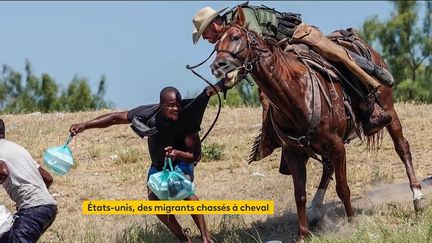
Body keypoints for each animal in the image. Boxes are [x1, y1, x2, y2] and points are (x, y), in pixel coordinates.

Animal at [211, 7, 424, 241]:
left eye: (236, 37)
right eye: (216, 44)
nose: (217, 66)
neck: (295, 94)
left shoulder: (337, 146)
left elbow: (343, 188)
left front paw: (352, 223)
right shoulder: (294, 152)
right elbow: (300, 194)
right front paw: (302, 235)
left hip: (389, 110)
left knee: (402, 147)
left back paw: (417, 197)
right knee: (327, 167)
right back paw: (315, 210)